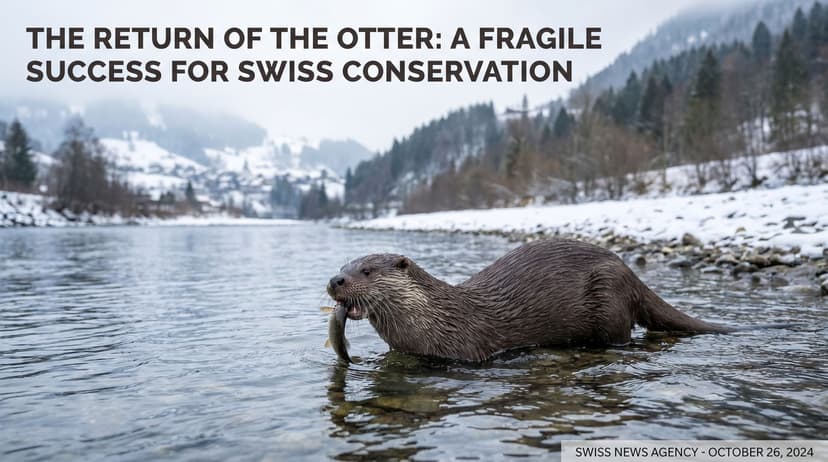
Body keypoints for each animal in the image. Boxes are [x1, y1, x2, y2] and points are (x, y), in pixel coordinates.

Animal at [326, 239, 733, 362]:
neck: (438, 318)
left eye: (366, 271)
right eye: (343, 266)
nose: (335, 280)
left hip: (610, 297)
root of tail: (629, 272)